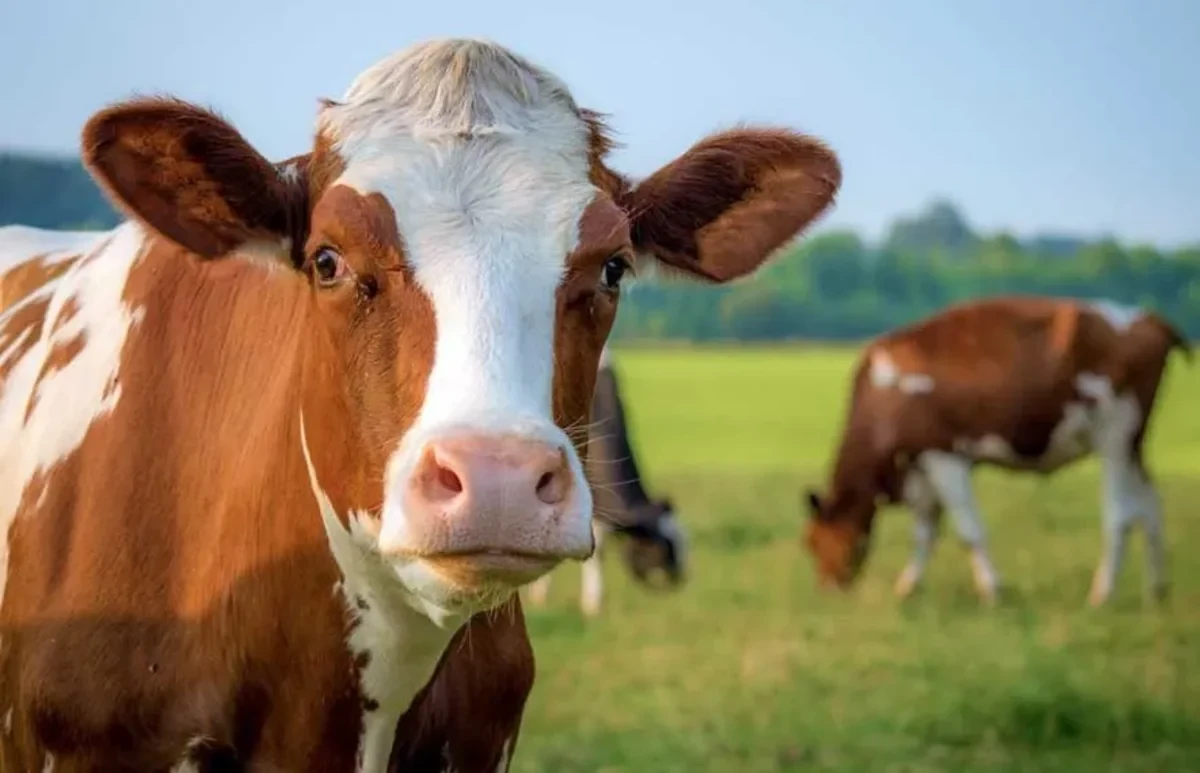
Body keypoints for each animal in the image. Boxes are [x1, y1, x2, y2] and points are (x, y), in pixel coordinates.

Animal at [802, 296, 1188, 607]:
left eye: (813, 540)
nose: (826, 589)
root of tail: (1148, 318)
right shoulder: (919, 468)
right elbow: (925, 532)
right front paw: (908, 587)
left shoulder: (944, 456)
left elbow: (968, 529)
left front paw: (992, 591)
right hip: (1134, 445)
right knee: (1151, 506)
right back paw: (1157, 591)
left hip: (1114, 436)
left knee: (1120, 514)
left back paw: (1102, 595)